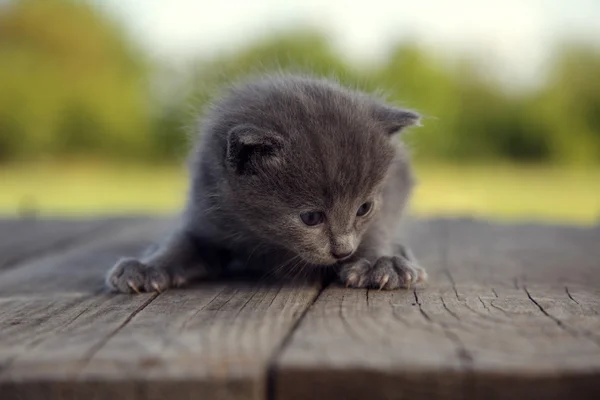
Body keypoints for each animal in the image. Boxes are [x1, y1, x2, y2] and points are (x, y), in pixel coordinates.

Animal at [106, 74, 426, 294]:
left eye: (364, 208)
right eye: (311, 217)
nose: (343, 251)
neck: (268, 241)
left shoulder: (392, 189)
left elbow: (377, 230)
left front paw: (381, 262)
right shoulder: (207, 210)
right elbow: (181, 242)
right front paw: (147, 266)